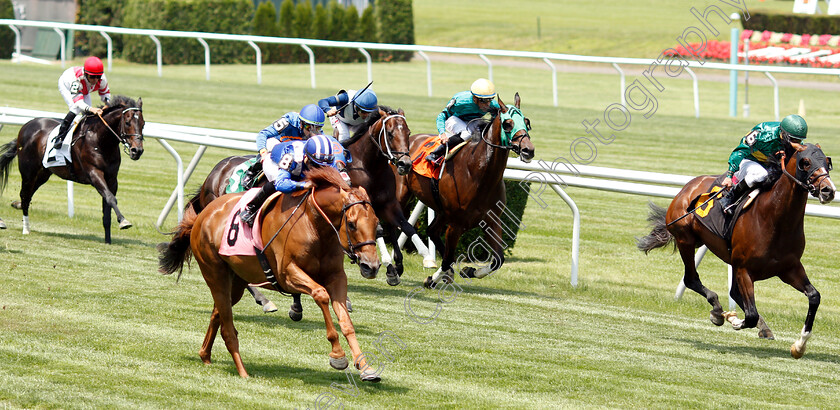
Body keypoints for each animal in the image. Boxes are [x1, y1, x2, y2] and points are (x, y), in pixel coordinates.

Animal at [0, 95, 144, 243]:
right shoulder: (94, 173)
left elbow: (107, 208)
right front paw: (123, 221)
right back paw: (25, 228)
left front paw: (108, 241)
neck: (101, 141)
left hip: (43, 173)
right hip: (28, 171)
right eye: (127, 122)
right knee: (25, 195)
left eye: (143, 124)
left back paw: (17, 205)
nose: (137, 151)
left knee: (28, 195)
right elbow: (110, 198)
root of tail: (26, 126)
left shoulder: (112, 179)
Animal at [158, 167, 380, 382]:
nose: (372, 266)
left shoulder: (336, 277)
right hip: (215, 273)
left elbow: (346, 322)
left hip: (236, 281)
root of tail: (203, 215)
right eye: (351, 224)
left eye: (377, 223)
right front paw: (338, 355)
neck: (313, 224)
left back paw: (205, 355)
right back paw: (243, 372)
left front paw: (366, 368)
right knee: (228, 328)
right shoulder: (287, 275)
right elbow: (321, 294)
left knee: (217, 313)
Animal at [342, 105, 426, 286]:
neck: (371, 167)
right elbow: (378, 231)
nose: (405, 164)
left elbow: (406, 226)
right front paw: (389, 265)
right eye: (390, 133)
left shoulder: (389, 204)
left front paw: (425, 255)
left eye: (408, 132)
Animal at [398, 93, 536, 288]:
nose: (528, 150)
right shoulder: (456, 225)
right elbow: (448, 258)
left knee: (432, 231)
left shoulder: (492, 220)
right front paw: (435, 277)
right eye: (508, 124)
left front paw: (469, 270)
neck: (478, 173)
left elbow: (498, 259)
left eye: (526, 121)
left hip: (442, 210)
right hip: (401, 194)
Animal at [640, 143, 836, 358]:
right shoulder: (744, 269)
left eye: (827, 161)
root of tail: (687, 187)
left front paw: (799, 346)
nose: (828, 190)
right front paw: (732, 319)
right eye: (806, 162)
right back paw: (718, 310)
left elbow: (814, 296)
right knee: (691, 279)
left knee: (732, 292)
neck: (774, 219)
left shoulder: (789, 268)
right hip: (686, 239)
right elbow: (750, 315)